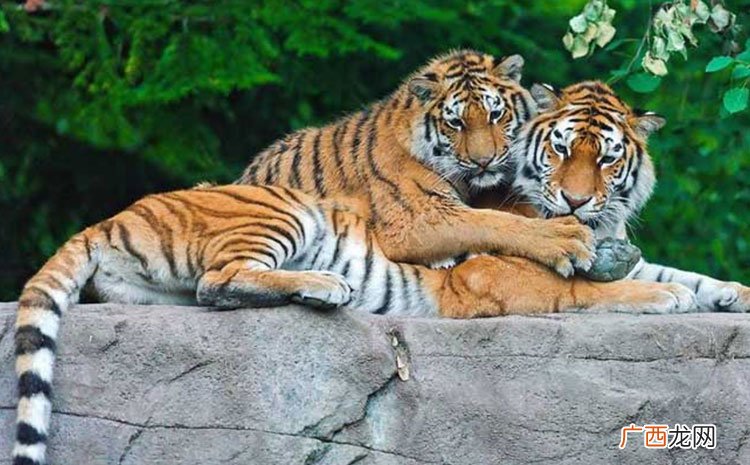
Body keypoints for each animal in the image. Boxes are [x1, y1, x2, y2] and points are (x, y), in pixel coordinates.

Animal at [12, 182, 698, 465]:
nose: (617, 234)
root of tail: (110, 219)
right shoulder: (494, 282)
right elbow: (585, 288)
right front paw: (663, 295)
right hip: (283, 212)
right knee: (220, 280)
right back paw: (325, 287)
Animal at [237, 49, 596, 278]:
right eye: (456, 123)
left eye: (495, 114)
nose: (484, 161)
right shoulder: (417, 218)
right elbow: (492, 222)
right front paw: (565, 239)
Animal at [478, 80, 750, 313]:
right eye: (561, 148)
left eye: (607, 159)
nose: (575, 201)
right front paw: (672, 293)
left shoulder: (635, 263)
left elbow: (688, 276)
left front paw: (737, 292)